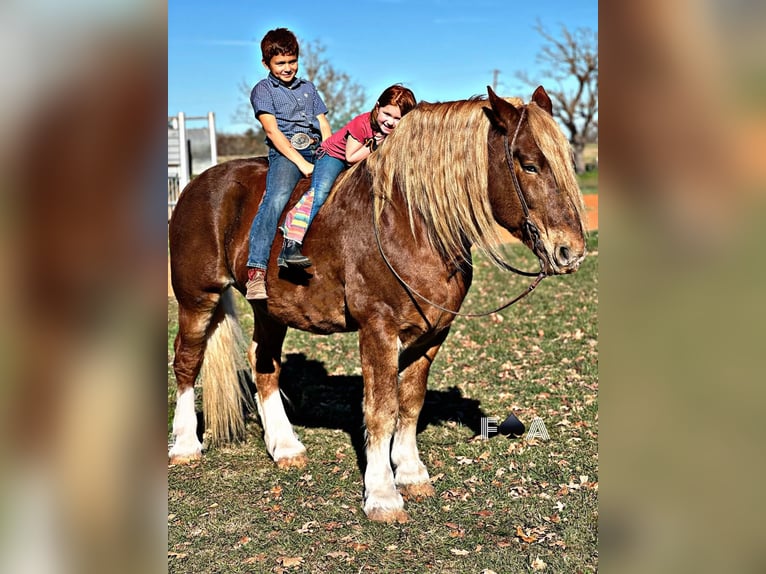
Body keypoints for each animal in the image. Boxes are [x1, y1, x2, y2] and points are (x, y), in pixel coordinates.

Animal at [168, 86, 588, 528]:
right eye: (529, 164)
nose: (571, 251)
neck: (409, 221)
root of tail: (197, 185)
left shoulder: (432, 335)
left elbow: (410, 403)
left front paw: (411, 472)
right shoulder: (378, 330)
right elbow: (381, 409)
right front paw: (383, 494)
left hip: (269, 308)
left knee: (263, 364)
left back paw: (284, 446)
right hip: (197, 297)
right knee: (187, 361)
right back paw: (186, 445)